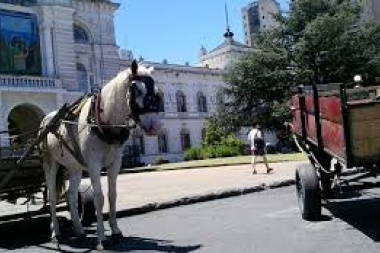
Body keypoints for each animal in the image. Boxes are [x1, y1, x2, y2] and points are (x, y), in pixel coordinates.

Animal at [39, 60, 160, 250]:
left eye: (156, 91)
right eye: (136, 89)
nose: (155, 126)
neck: (104, 121)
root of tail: (46, 120)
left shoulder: (115, 163)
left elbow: (112, 195)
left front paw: (116, 231)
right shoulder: (94, 165)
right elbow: (99, 197)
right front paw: (102, 237)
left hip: (74, 168)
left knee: (71, 196)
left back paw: (79, 230)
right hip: (50, 164)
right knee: (52, 197)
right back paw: (55, 233)